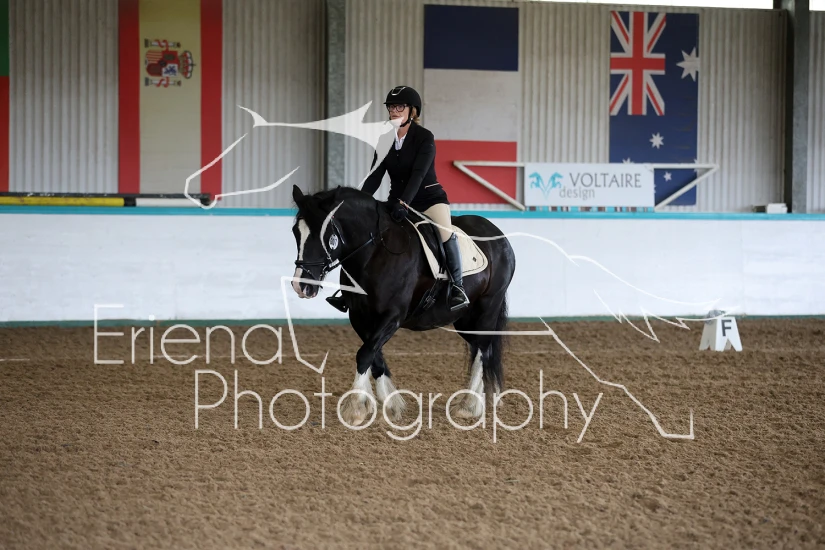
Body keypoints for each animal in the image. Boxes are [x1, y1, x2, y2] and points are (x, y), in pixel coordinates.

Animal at [290, 184, 516, 426]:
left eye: (323, 233)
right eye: (296, 232)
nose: (300, 285)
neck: (374, 253)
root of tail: (499, 236)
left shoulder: (393, 316)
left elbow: (365, 353)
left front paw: (355, 407)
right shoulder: (360, 317)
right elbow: (374, 356)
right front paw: (390, 405)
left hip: (488, 307)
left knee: (483, 348)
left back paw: (469, 405)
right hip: (465, 319)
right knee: (480, 347)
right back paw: (479, 400)